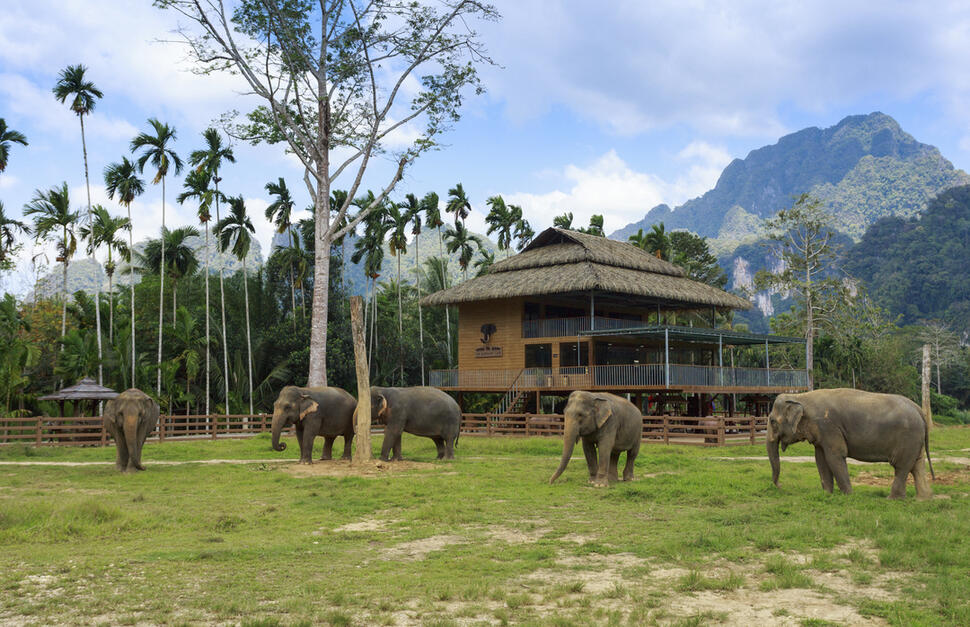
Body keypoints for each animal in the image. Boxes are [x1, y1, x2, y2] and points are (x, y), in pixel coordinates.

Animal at [767, 388, 935, 499]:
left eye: (772, 421)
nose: (781, 487)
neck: (800, 396)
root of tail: (919, 410)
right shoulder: (821, 434)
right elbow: (820, 459)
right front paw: (827, 494)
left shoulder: (828, 426)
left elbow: (835, 456)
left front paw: (848, 496)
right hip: (915, 439)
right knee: (917, 465)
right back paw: (923, 500)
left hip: (908, 437)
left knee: (901, 467)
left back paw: (893, 499)